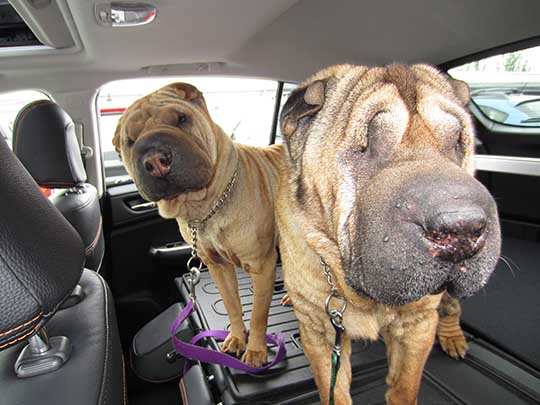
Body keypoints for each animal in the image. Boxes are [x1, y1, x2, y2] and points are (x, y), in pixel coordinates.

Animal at [112, 83, 284, 366]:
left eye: (181, 119)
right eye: (130, 140)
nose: (156, 160)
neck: (206, 206)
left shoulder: (261, 266)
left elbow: (259, 314)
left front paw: (256, 350)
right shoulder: (218, 266)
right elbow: (232, 304)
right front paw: (237, 338)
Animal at [276, 64, 500, 402]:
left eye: (457, 140)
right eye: (369, 141)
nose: (461, 227)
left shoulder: (417, 325)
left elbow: (404, 387)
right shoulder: (321, 333)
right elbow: (333, 390)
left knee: (451, 307)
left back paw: (453, 337)